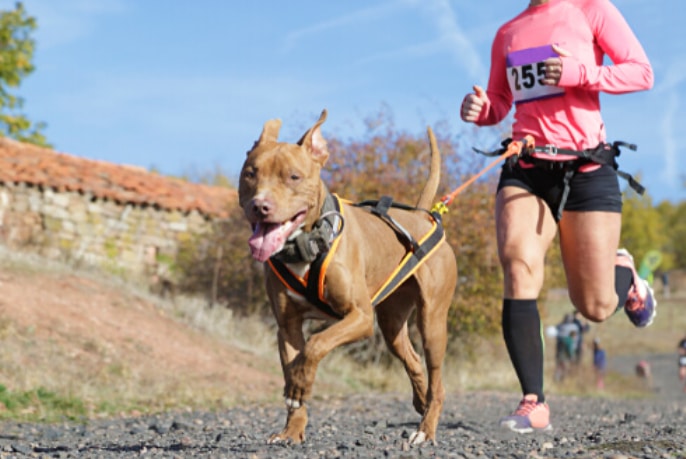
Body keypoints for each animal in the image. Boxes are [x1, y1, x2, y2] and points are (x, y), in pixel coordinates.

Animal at [239, 108, 460, 446]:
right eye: (250, 173)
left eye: (293, 177)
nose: (260, 205)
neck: (307, 244)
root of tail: (421, 215)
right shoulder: (286, 326)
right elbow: (294, 365)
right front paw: (292, 429)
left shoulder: (359, 318)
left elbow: (315, 344)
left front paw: (299, 386)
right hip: (392, 323)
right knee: (412, 360)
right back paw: (420, 402)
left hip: (432, 322)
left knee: (437, 377)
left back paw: (426, 427)